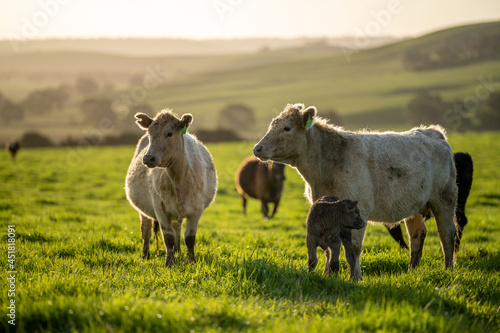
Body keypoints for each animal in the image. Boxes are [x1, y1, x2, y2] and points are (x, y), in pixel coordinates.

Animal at [125, 110, 217, 266]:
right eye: (150, 133)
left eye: (169, 133)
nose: (148, 158)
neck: (179, 179)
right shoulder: (160, 209)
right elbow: (168, 237)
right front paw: (169, 262)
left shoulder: (196, 210)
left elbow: (189, 238)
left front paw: (191, 261)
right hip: (144, 211)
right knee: (146, 231)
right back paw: (145, 255)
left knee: (177, 228)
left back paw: (178, 251)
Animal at [254, 103, 458, 278]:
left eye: (287, 128)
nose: (257, 148)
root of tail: (432, 131)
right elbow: (329, 249)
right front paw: (327, 275)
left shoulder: (359, 210)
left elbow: (353, 247)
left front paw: (355, 277)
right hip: (413, 205)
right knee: (417, 234)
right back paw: (411, 271)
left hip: (445, 200)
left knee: (447, 234)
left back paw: (448, 269)